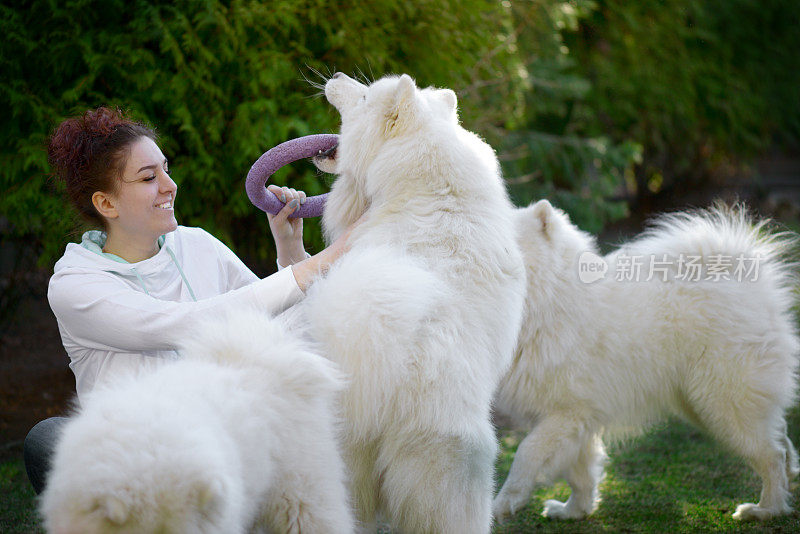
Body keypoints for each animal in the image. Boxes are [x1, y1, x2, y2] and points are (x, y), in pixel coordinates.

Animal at [494, 201, 800, 524]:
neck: (551, 302)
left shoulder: (566, 412)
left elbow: (526, 453)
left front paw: (503, 504)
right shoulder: (575, 420)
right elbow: (580, 475)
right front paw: (573, 511)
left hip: (723, 406)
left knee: (771, 456)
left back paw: (766, 509)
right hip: (702, 405)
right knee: (779, 437)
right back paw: (790, 474)